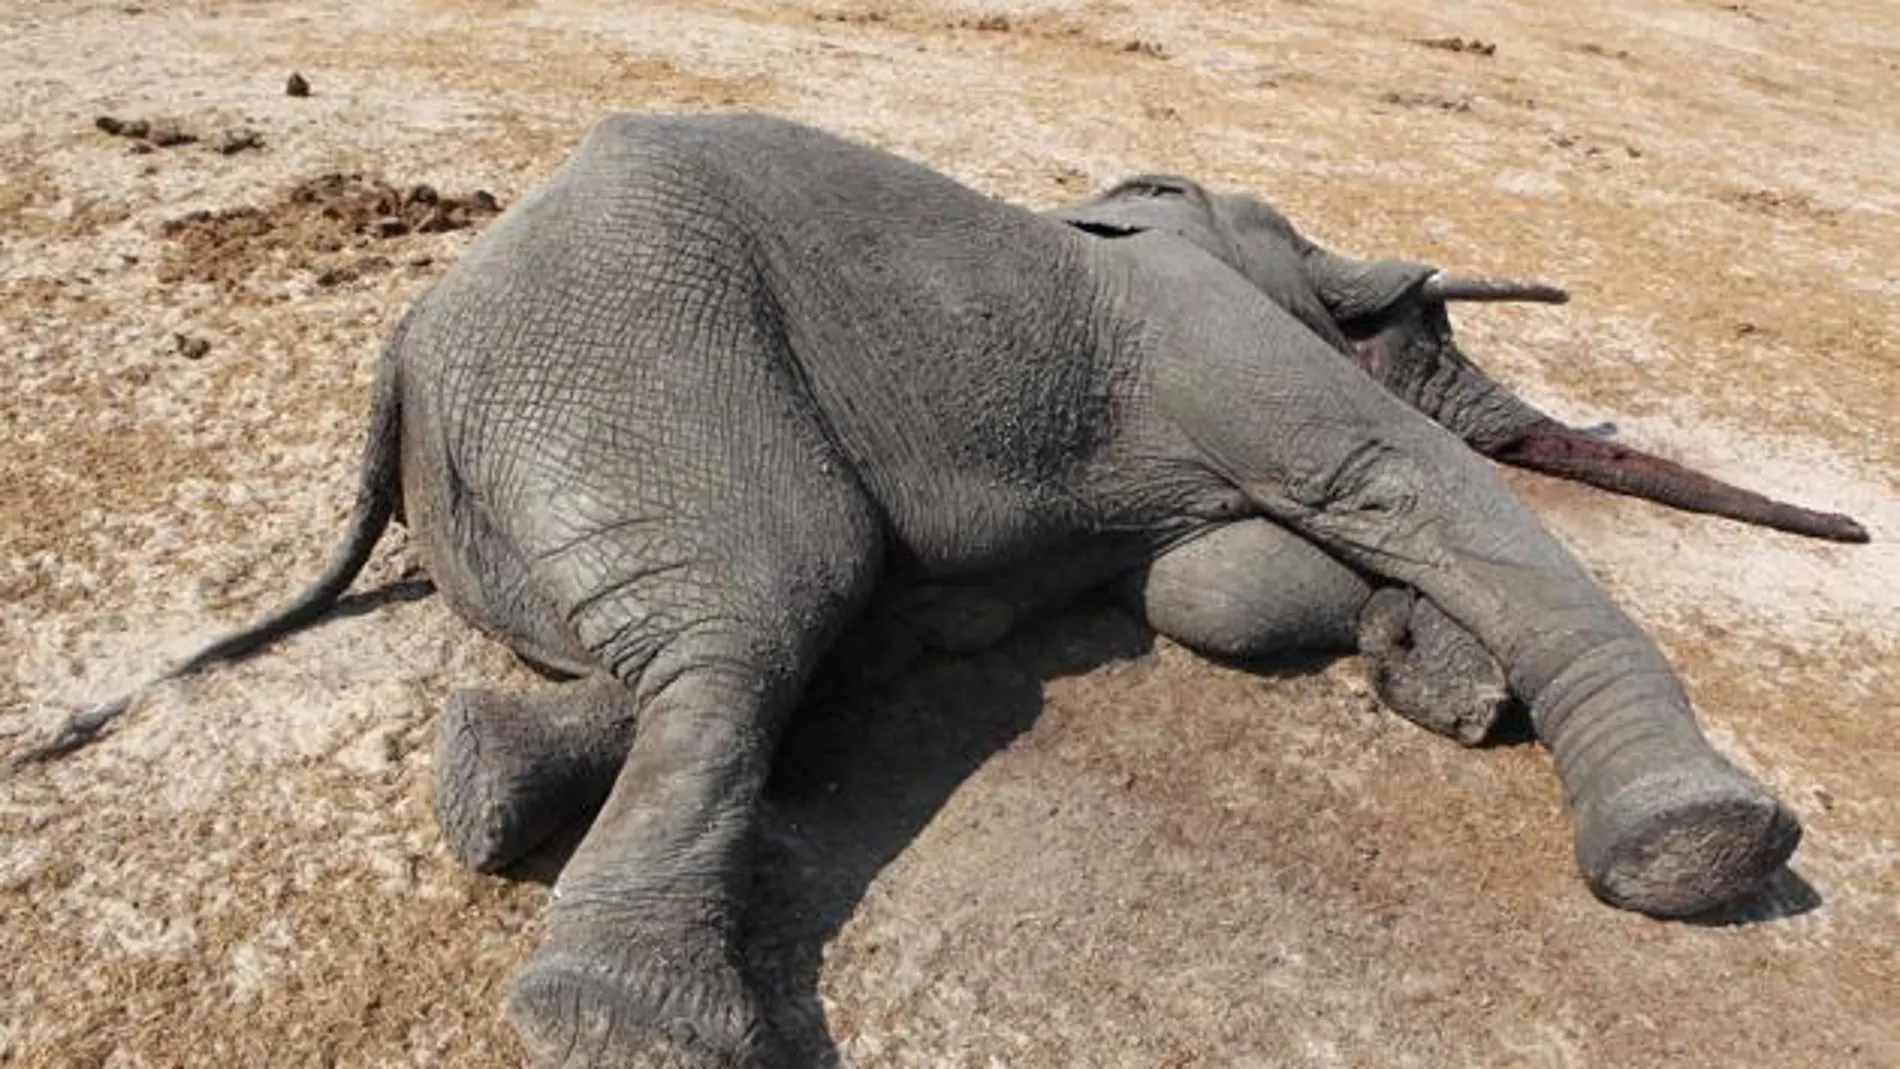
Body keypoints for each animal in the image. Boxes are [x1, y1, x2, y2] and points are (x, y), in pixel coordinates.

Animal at [30, 112, 1867, 1066]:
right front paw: (1699, 850)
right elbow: (1386, 483)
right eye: (1420, 332)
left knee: (766, 641)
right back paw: (624, 1020)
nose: (1849, 531)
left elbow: (1218, 584)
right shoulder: (1205, 337)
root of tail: (408, 334)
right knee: (764, 616)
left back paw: (486, 787)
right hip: (638, 354)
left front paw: (1451, 685)